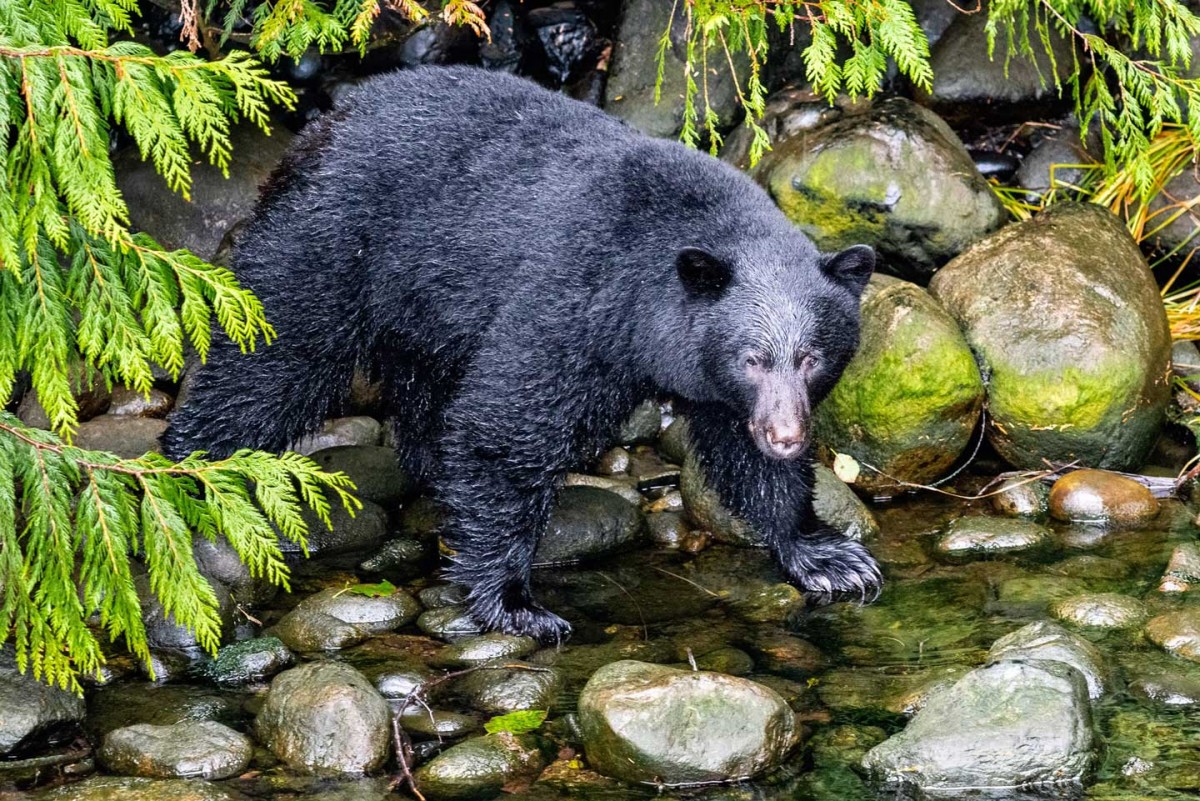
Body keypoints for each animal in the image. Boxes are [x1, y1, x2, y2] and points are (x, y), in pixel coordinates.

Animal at [162, 64, 883, 637]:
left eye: (812, 357)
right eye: (752, 357)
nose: (788, 435)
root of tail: (321, 125)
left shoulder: (716, 387)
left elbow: (742, 454)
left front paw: (825, 555)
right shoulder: (574, 302)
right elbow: (506, 426)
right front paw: (514, 601)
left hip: (423, 308)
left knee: (422, 389)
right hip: (330, 246)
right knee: (273, 361)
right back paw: (193, 469)